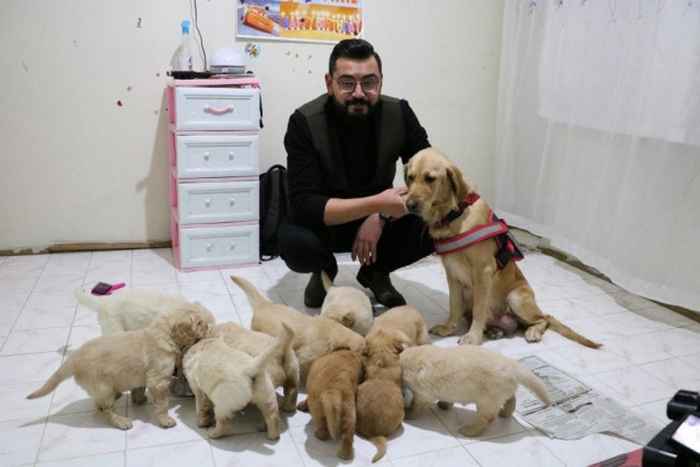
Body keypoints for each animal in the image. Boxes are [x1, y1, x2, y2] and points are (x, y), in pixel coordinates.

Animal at [26, 308, 213, 432]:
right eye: (201, 323)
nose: (210, 329)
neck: (163, 333)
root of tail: (73, 359)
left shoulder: (142, 376)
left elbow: (138, 388)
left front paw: (139, 399)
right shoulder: (158, 381)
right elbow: (162, 404)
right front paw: (165, 420)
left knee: (99, 404)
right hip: (102, 387)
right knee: (103, 408)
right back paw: (122, 421)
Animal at [400, 344, 552, 438]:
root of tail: (513, 366)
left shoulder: (422, 393)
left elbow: (417, 405)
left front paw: (409, 414)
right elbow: (446, 399)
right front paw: (444, 405)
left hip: (487, 400)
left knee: (487, 417)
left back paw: (469, 430)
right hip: (502, 391)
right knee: (511, 400)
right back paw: (505, 413)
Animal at [402, 148, 600, 350]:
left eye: (430, 179)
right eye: (410, 177)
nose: (409, 205)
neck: (454, 215)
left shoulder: (483, 272)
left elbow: (479, 310)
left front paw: (473, 338)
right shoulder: (452, 274)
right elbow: (454, 306)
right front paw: (448, 328)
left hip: (516, 298)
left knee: (545, 318)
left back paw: (532, 332)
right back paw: (494, 331)